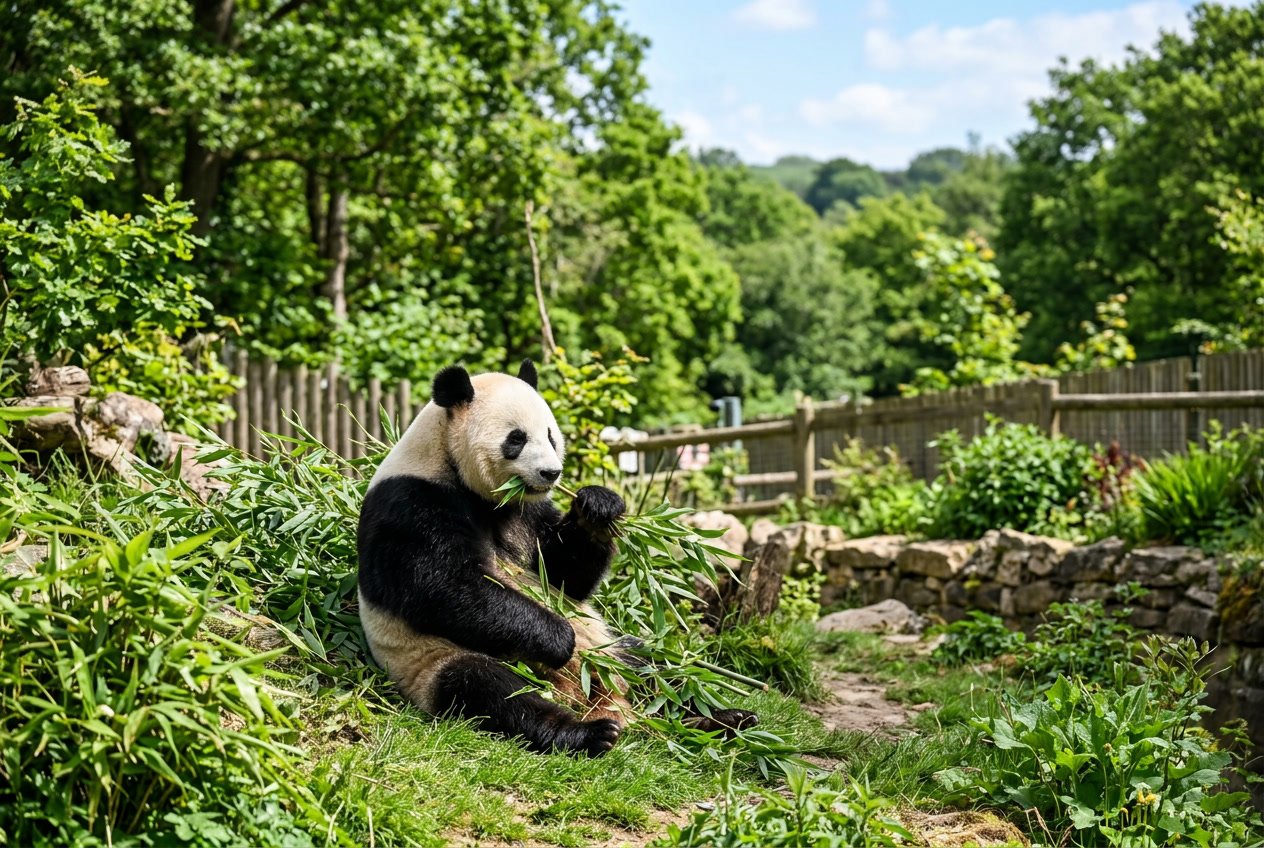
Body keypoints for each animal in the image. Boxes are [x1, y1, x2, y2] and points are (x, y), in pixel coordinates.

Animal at [357, 361, 756, 757]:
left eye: (550, 436)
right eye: (516, 439)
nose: (551, 473)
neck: (448, 458)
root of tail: (598, 700)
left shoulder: (528, 510)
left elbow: (563, 574)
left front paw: (597, 508)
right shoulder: (413, 502)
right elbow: (444, 586)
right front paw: (560, 638)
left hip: (617, 652)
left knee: (655, 667)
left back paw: (720, 719)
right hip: (434, 661)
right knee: (490, 690)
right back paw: (589, 733)